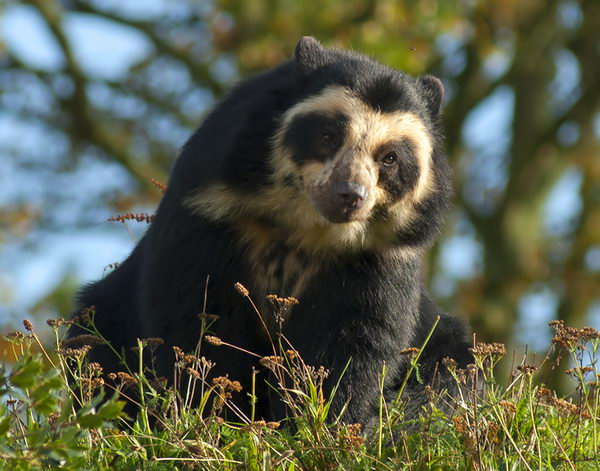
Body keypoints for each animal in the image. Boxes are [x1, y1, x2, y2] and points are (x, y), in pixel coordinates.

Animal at [71, 37, 474, 424]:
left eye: (390, 158)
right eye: (327, 136)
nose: (349, 195)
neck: (305, 227)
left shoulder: (377, 256)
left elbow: (353, 342)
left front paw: (319, 420)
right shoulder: (212, 213)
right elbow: (200, 318)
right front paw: (213, 415)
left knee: (451, 380)